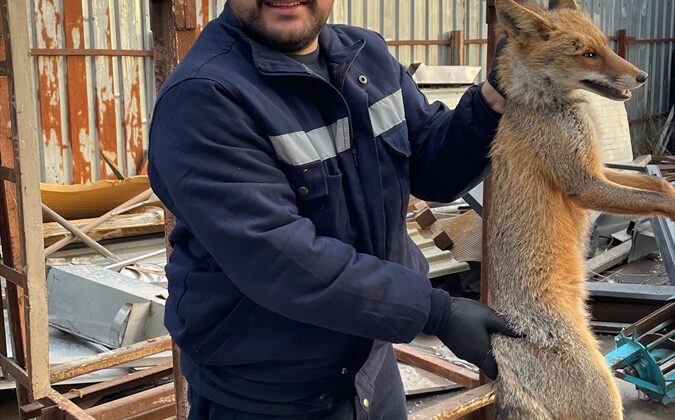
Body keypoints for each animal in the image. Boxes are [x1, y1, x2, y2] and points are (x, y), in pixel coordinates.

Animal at [486, 0, 675, 420]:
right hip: (606, 396)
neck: (541, 102)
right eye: (588, 54)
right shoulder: (583, 184)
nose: (641, 76)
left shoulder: (599, 168)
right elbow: (658, 200)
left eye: (604, 45)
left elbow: (658, 187)